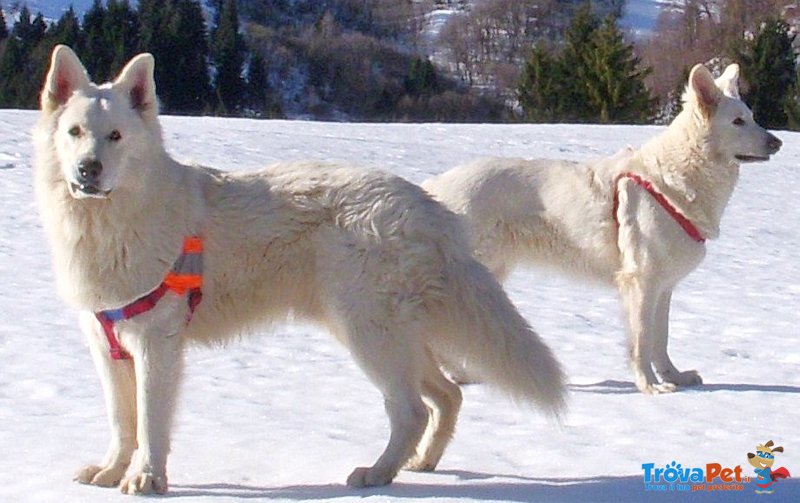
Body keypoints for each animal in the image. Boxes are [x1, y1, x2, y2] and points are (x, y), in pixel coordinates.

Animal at [424, 65, 780, 398]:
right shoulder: (641, 283)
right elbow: (642, 341)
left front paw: (674, 377)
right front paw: (649, 386)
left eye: (752, 117)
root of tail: (431, 186)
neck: (670, 180)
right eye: (737, 122)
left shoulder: (663, 287)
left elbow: (660, 340)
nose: (778, 142)